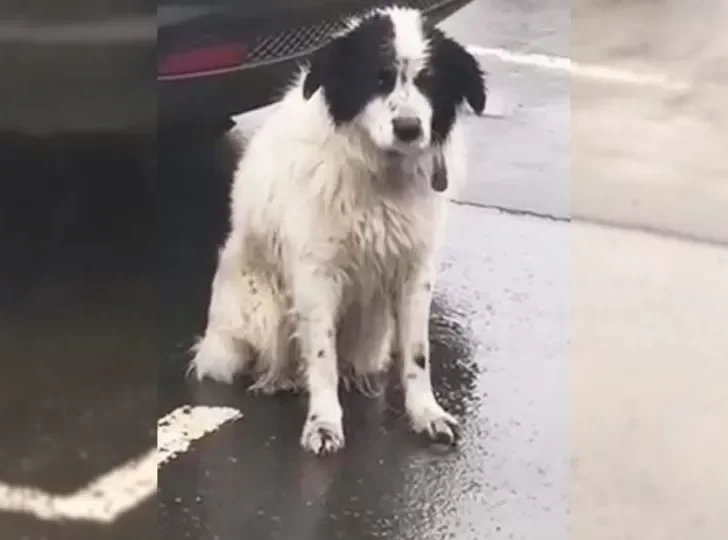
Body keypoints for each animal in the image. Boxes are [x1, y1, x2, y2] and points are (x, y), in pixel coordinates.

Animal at [191, 6, 486, 454]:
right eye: (378, 78)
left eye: (429, 80)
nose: (408, 129)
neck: (382, 176)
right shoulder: (317, 275)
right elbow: (321, 358)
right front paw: (324, 423)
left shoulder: (416, 271)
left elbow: (417, 355)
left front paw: (426, 414)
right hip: (260, 311)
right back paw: (277, 379)